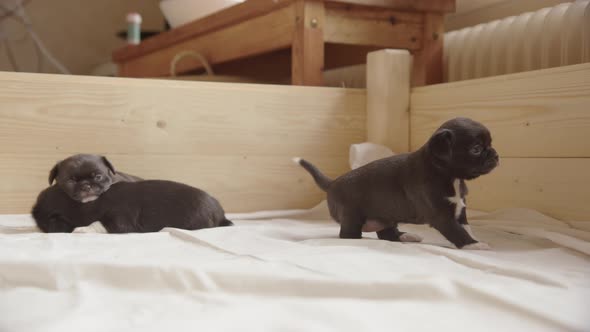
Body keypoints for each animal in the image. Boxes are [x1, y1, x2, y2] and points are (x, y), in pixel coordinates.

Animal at [31, 179, 232, 233]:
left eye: (48, 219)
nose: (33, 213)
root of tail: (221, 214)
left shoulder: (120, 220)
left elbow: (100, 224)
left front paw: (82, 229)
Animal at [296, 116, 500, 249]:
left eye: (490, 143)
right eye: (476, 149)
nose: (496, 155)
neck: (447, 174)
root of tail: (332, 183)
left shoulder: (460, 210)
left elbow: (466, 228)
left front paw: (475, 239)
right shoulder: (442, 217)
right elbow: (458, 232)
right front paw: (473, 244)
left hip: (386, 214)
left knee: (386, 233)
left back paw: (406, 236)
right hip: (352, 216)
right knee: (348, 234)